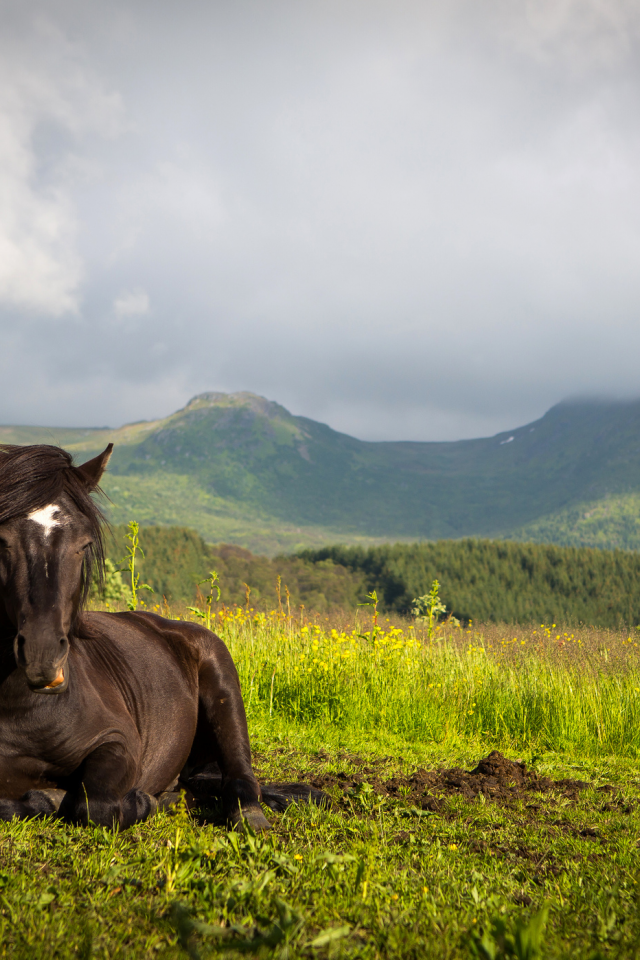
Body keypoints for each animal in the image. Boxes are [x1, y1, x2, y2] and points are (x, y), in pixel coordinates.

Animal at [0, 442, 322, 824]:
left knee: (240, 778)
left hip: (224, 689)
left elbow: (95, 804)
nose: (43, 656)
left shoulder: (118, 742)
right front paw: (45, 798)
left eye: (83, 544)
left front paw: (139, 801)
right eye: (2, 541)